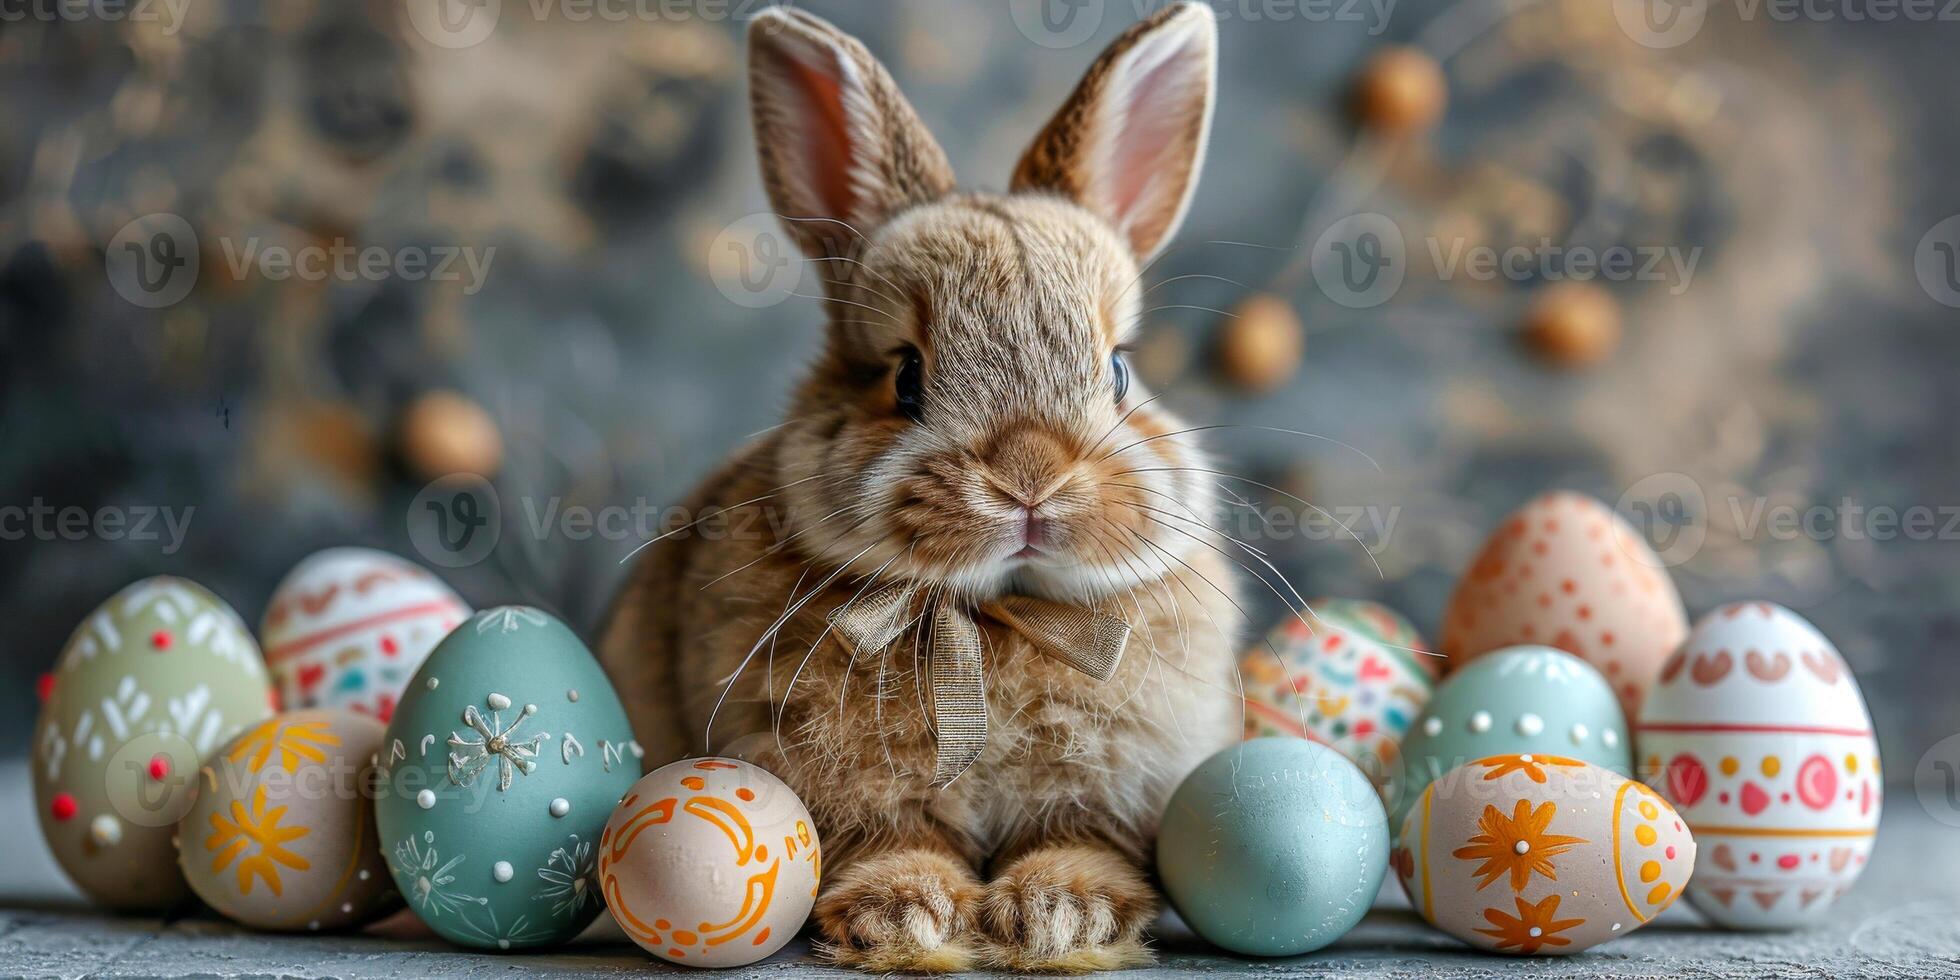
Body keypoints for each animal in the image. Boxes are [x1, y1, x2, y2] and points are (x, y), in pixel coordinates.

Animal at [599, 5, 1238, 972]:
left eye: (1119, 371)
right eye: (905, 378)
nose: (1030, 478)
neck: (992, 616)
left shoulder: (1109, 786)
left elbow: (1077, 839)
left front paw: (1063, 915)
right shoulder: (841, 786)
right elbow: (893, 840)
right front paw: (909, 919)